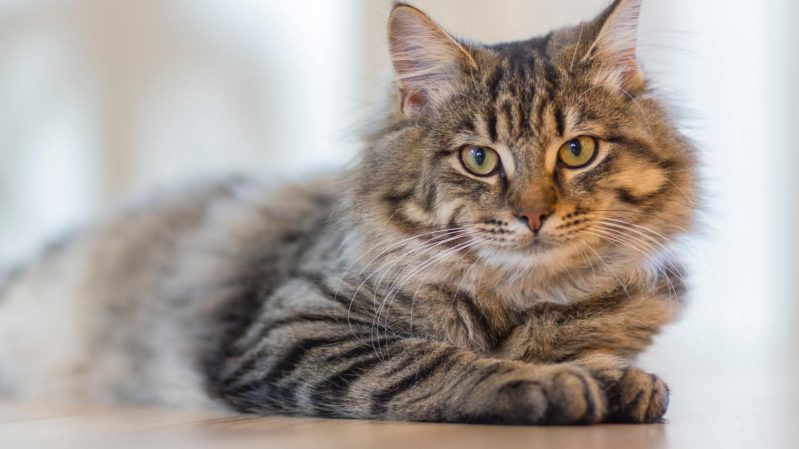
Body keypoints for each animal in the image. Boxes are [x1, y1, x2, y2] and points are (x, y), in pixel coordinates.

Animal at [0, 0, 692, 426]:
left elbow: (603, 355)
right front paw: (548, 382)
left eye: (576, 151)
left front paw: (617, 377)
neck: (518, 299)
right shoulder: (297, 327)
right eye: (479, 158)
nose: (533, 216)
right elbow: (431, 360)